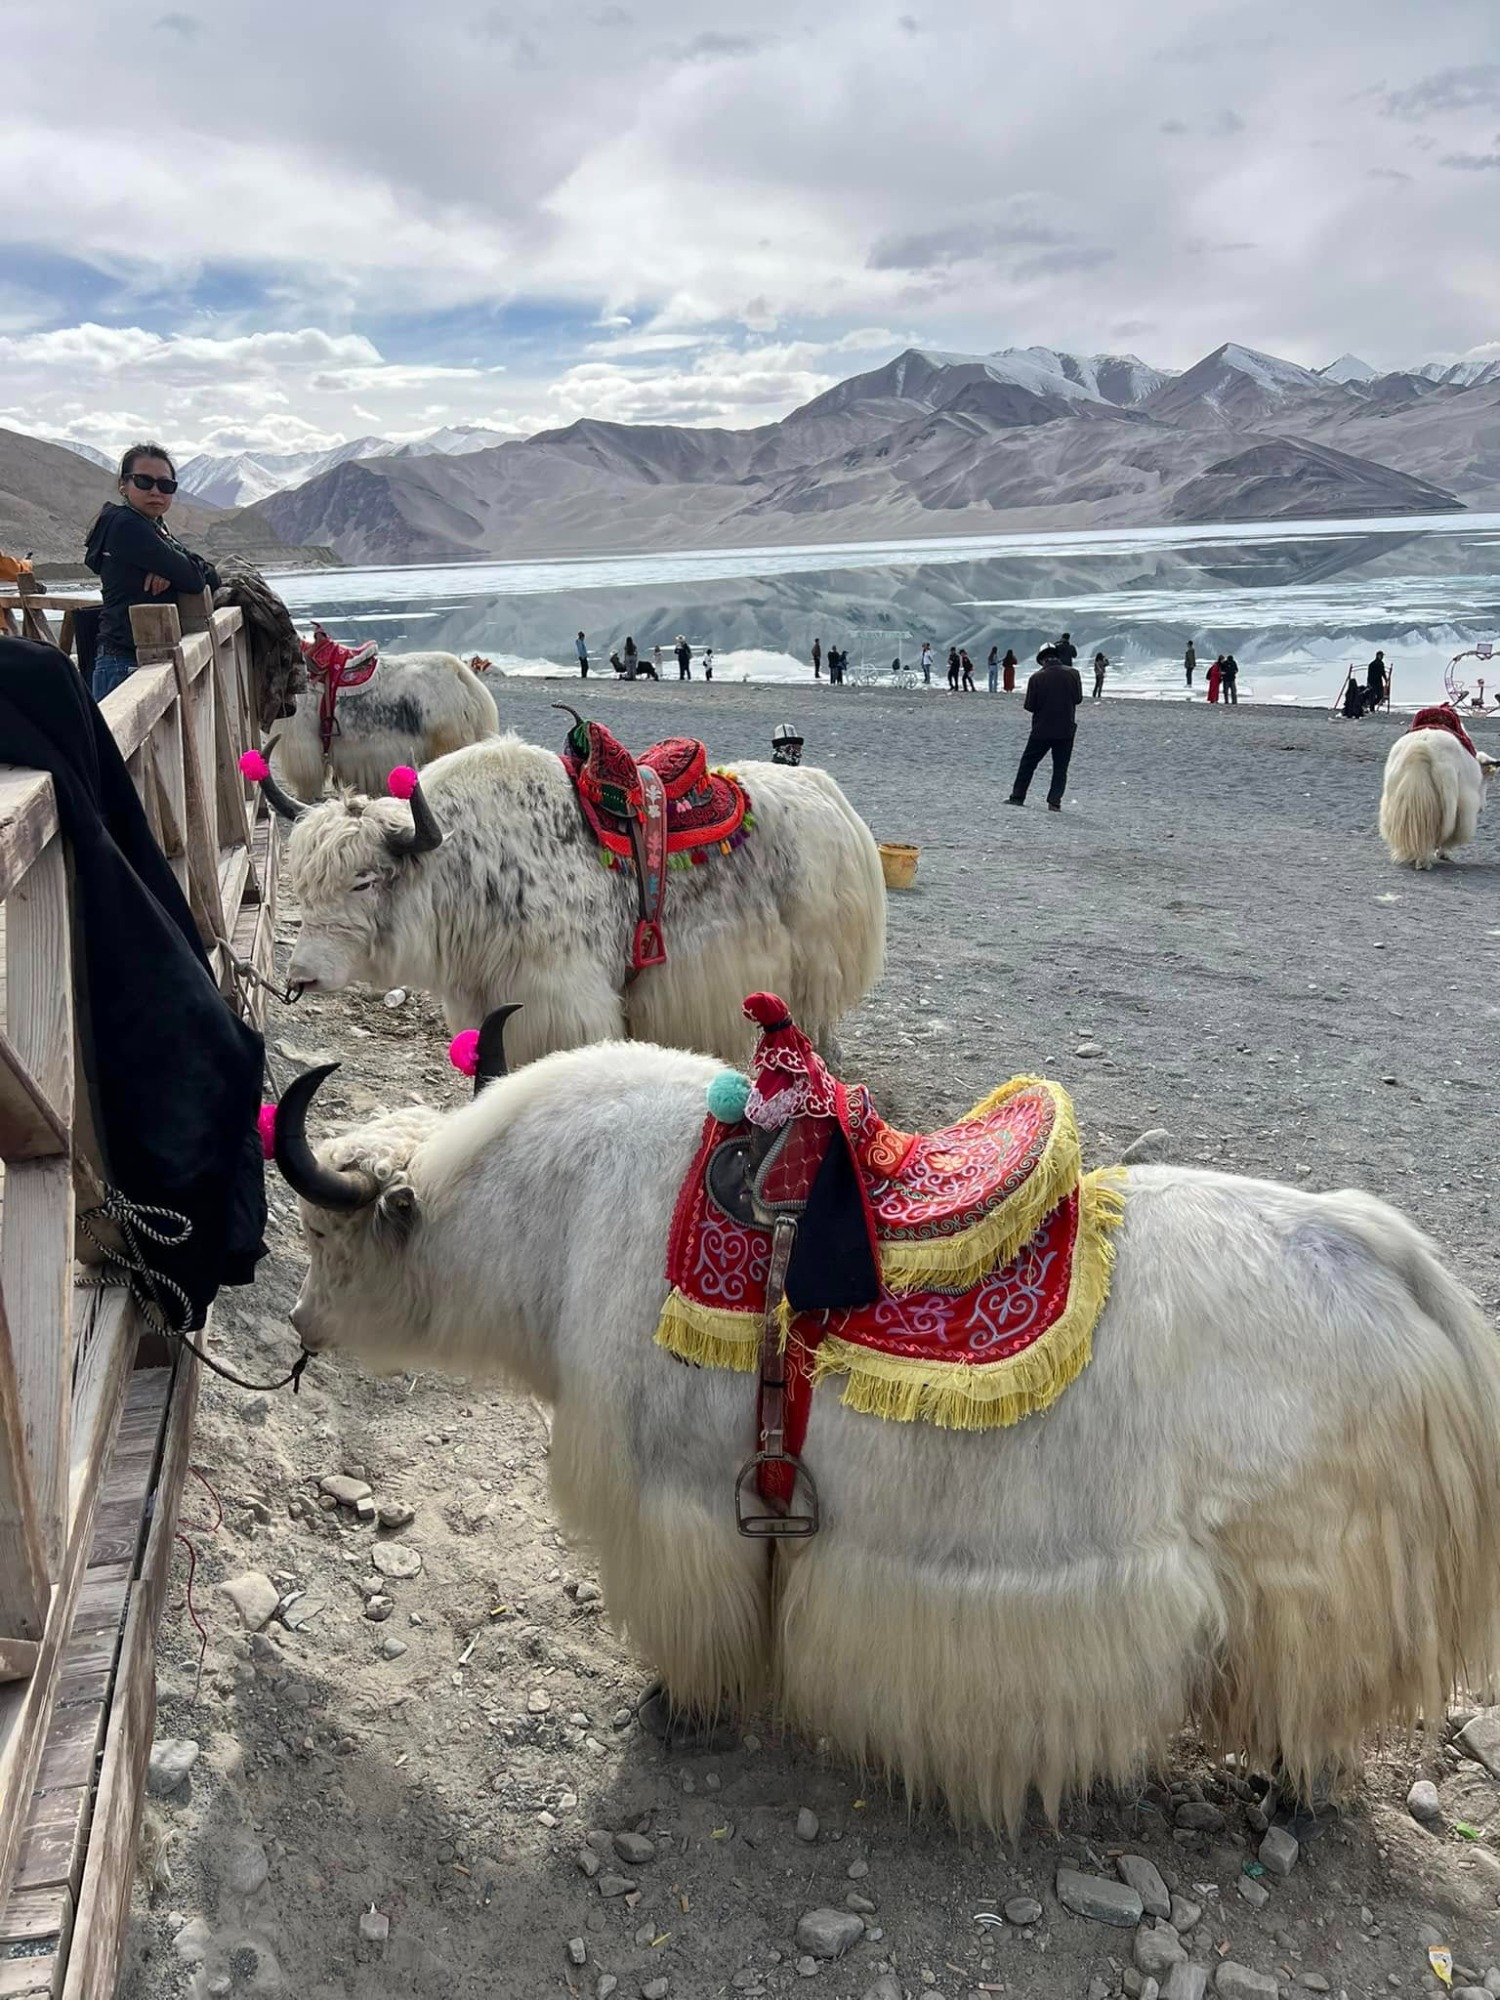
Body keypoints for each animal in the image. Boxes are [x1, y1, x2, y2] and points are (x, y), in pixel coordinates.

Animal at [257, 737, 886, 1068]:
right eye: (304, 885)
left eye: (364, 881)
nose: (301, 977)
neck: (469, 863)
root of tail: (830, 795)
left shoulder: (560, 1001)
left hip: (813, 962)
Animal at [265, 1017, 1500, 1833]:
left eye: (327, 1236)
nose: (295, 1321)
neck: (559, 1217)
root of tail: (1391, 1260)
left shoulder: (674, 1498)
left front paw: (680, 1710)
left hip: (1304, 1574)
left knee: (1316, 1701)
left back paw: (1285, 1793)